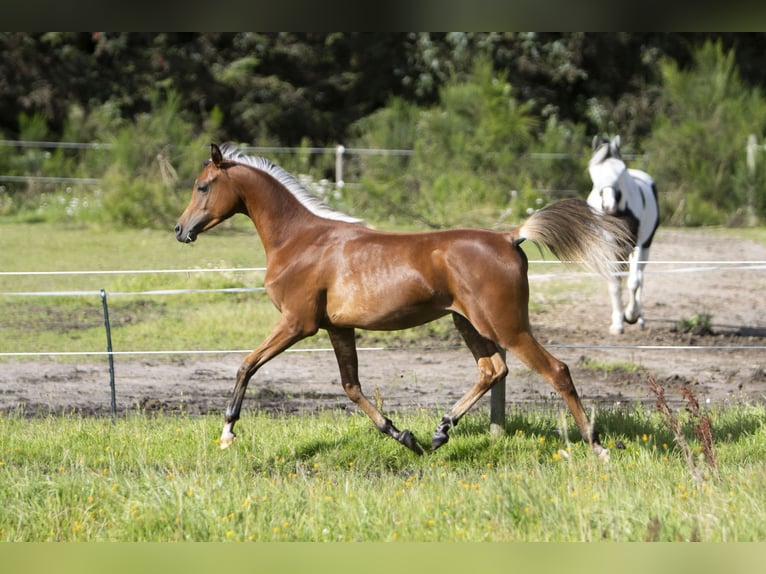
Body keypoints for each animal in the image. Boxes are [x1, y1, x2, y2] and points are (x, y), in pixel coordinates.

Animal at [178, 146, 632, 462]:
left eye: (203, 186)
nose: (181, 230)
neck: (300, 240)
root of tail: (509, 237)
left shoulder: (297, 323)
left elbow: (246, 364)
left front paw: (227, 432)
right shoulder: (338, 327)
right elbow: (352, 387)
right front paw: (404, 436)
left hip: (508, 327)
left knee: (556, 371)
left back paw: (597, 446)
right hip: (469, 323)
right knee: (492, 369)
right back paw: (440, 430)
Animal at [588, 137, 660, 336]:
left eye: (621, 170)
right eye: (593, 172)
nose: (609, 206)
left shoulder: (639, 244)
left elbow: (634, 282)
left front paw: (631, 316)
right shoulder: (608, 246)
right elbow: (615, 283)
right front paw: (618, 324)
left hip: (645, 247)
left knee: (640, 277)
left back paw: (639, 318)